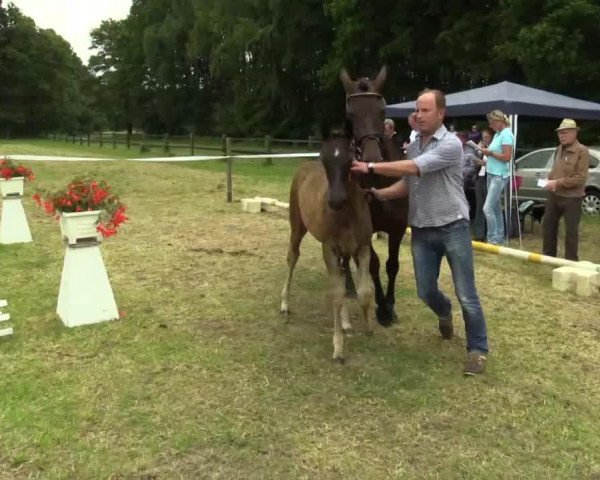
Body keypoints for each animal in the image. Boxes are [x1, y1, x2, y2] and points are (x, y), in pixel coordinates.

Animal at [280, 129, 372, 362]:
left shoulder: (363, 247)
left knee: (344, 272)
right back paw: (284, 304)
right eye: (325, 160)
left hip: (345, 251)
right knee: (292, 257)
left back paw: (346, 322)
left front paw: (368, 328)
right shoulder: (329, 249)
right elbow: (337, 295)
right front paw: (338, 348)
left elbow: (364, 291)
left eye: (351, 160)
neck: (347, 215)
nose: (335, 200)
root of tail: (304, 166)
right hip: (297, 227)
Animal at [340, 66, 410, 326]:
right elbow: (374, 263)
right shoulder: (364, 229)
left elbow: (392, 265)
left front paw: (390, 306)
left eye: (382, 112)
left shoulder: (397, 228)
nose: (372, 159)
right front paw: (381, 307)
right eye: (350, 115)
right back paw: (350, 285)